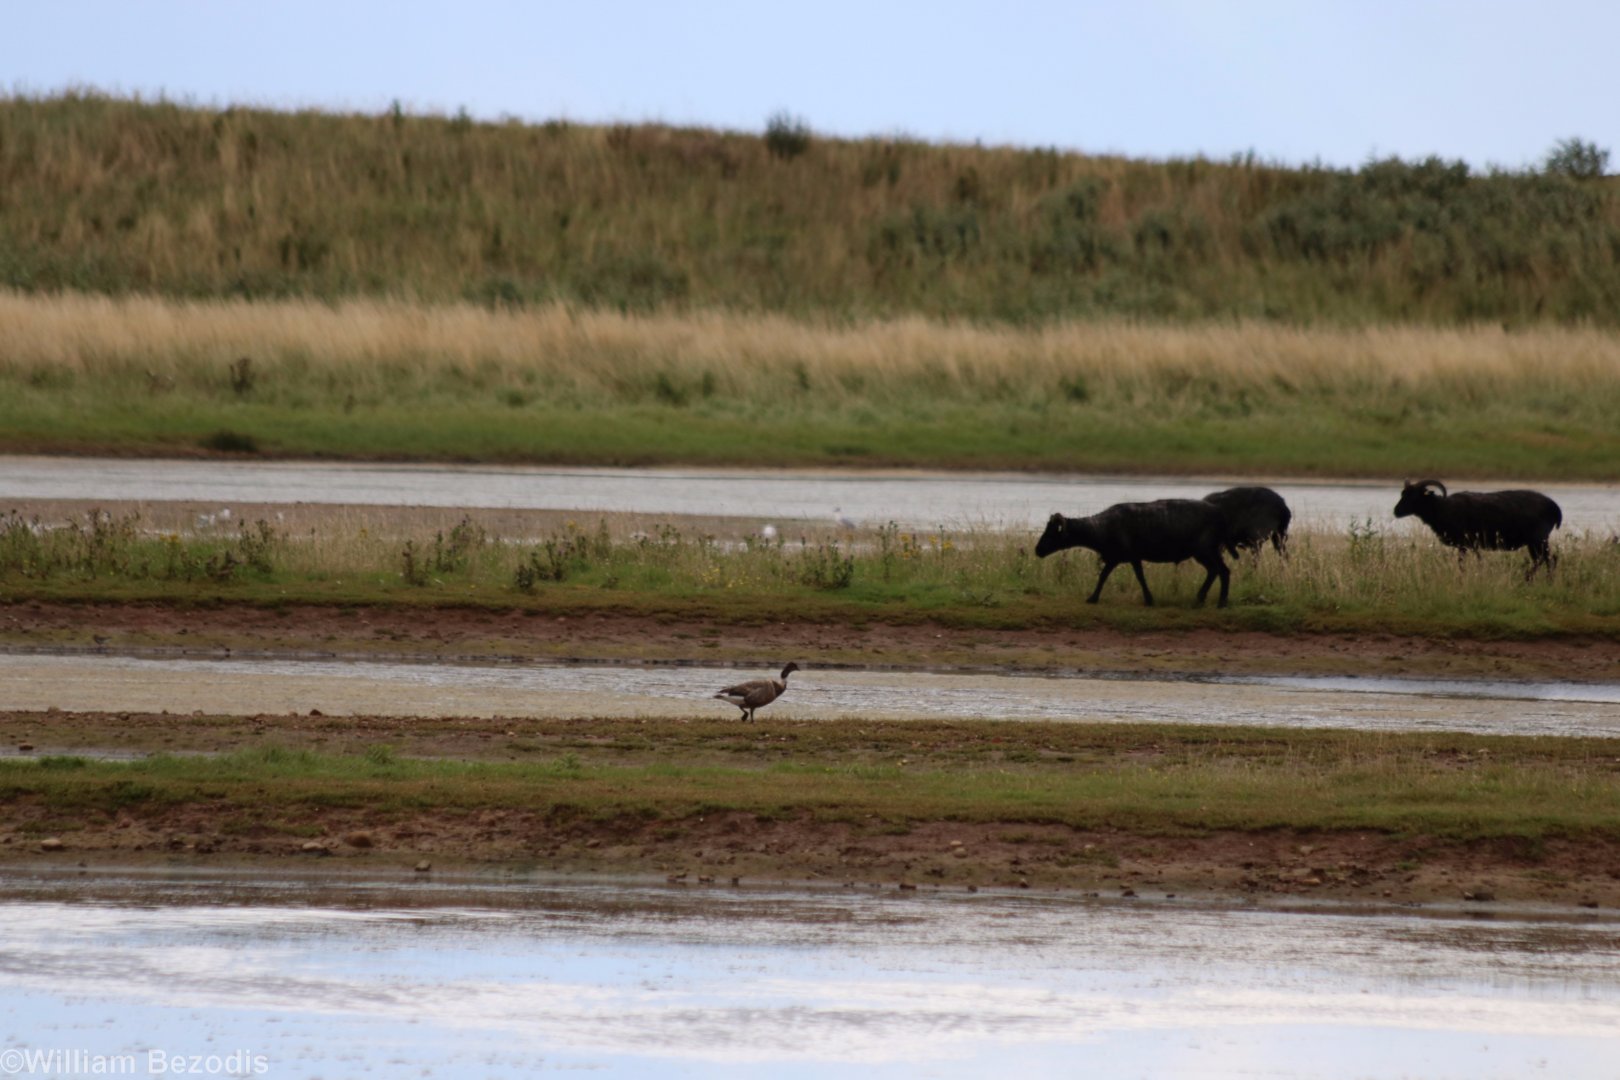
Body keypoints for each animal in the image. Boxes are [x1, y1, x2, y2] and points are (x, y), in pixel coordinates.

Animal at [1035, 499, 1230, 607]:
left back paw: (1217, 603)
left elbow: (1118, 576)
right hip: (1206, 552)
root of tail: (1220, 515)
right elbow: (1112, 576)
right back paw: (1204, 600)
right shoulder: (1124, 557)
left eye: (1052, 533)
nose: (1037, 550)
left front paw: (1092, 598)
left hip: (1205, 549)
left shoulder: (1124, 556)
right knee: (1217, 571)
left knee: (1221, 571)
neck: (1099, 528)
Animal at [1392, 479, 1563, 577]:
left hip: (1538, 538)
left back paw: (1530, 579)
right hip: (1534, 542)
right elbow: (1477, 560)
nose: (1396, 511)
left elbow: (1463, 563)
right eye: (1402, 494)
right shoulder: (1471, 544)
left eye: (1414, 496)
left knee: (1547, 559)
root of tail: (1555, 508)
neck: (1442, 508)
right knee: (1545, 559)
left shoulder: (1465, 543)